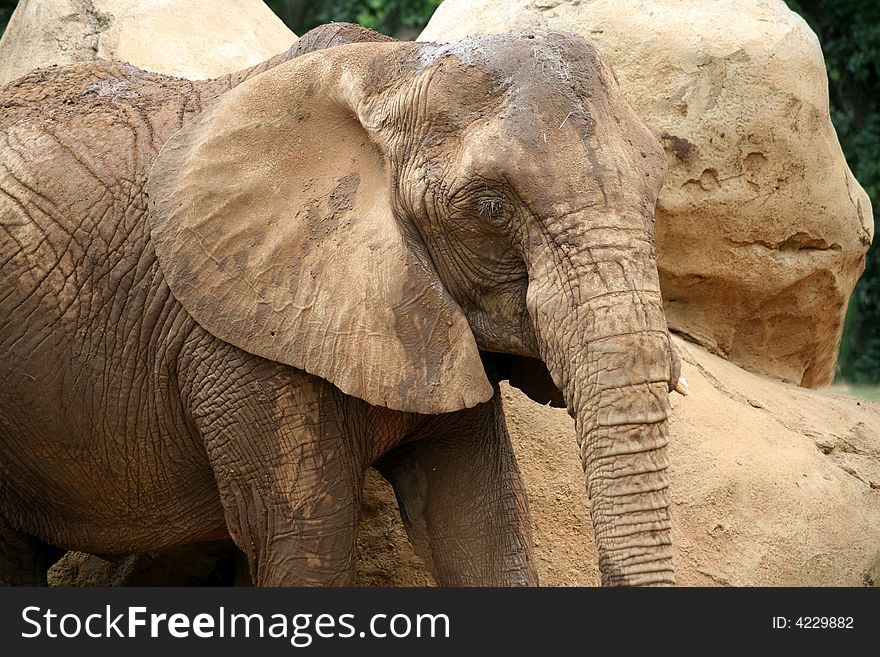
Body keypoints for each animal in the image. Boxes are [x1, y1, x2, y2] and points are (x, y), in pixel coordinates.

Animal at [0, 21, 680, 584]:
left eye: (654, 188)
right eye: (489, 207)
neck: (391, 70)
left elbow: (480, 523)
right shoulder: (247, 336)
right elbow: (305, 543)